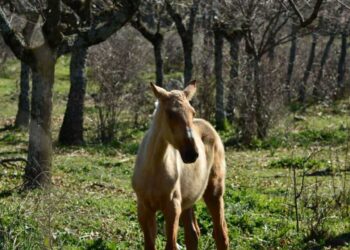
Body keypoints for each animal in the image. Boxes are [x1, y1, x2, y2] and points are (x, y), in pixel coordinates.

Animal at [133, 80, 228, 250]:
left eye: (193, 112)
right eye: (170, 113)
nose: (192, 154)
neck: (153, 170)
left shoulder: (172, 208)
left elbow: (171, 245)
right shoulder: (144, 209)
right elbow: (150, 245)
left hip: (214, 192)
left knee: (221, 234)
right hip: (188, 201)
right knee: (193, 234)